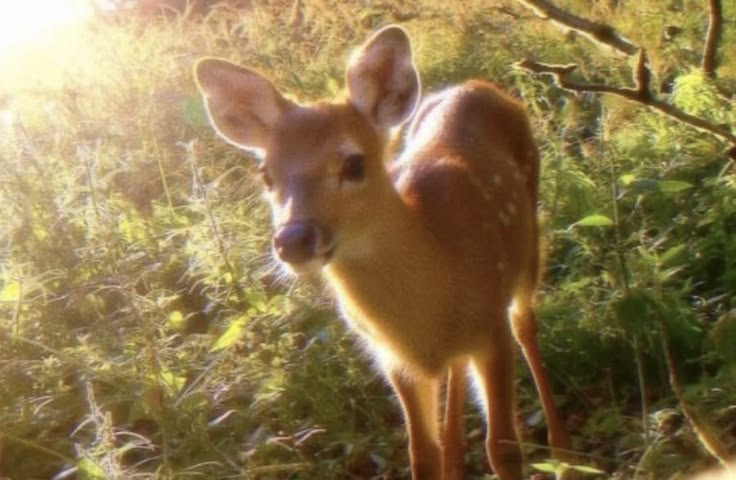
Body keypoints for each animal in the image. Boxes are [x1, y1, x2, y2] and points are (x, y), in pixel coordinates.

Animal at [194, 25, 571, 480]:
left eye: (354, 163)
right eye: (266, 175)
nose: (293, 239)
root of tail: (477, 85)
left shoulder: (490, 327)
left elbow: (504, 448)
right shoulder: (393, 358)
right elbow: (421, 457)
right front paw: (442, 457)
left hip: (528, 247)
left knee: (526, 327)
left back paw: (565, 453)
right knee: (456, 368)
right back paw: (456, 456)